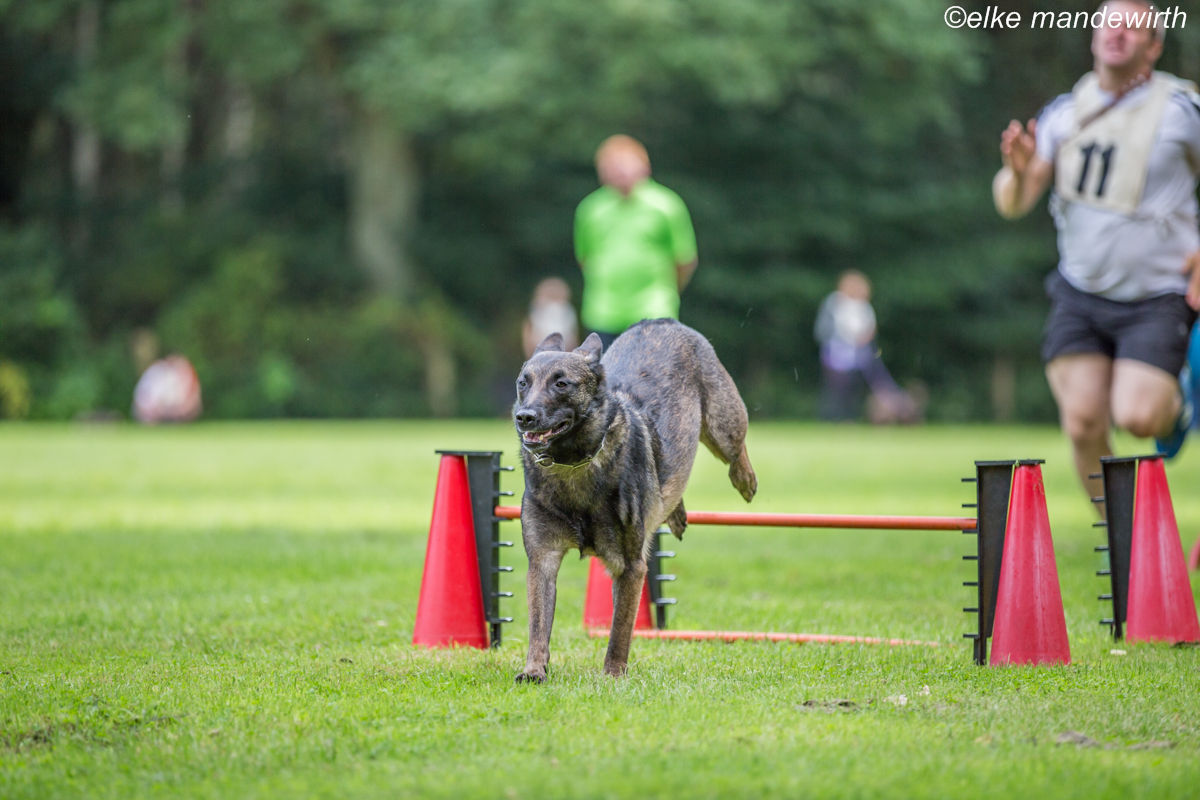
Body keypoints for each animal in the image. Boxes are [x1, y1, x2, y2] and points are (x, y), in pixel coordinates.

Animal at [512, 318, 756, 682]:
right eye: (522, 383)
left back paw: (745, 479)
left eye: (561, 383)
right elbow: (538, 624)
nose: (524, 417)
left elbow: (620, 631)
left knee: (736, 448)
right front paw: (534, 669)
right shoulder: (543, 558)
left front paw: (613, 674)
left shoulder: (630, 566)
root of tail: (659, 321)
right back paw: (675, 513)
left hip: (721, 426)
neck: (574, 465)